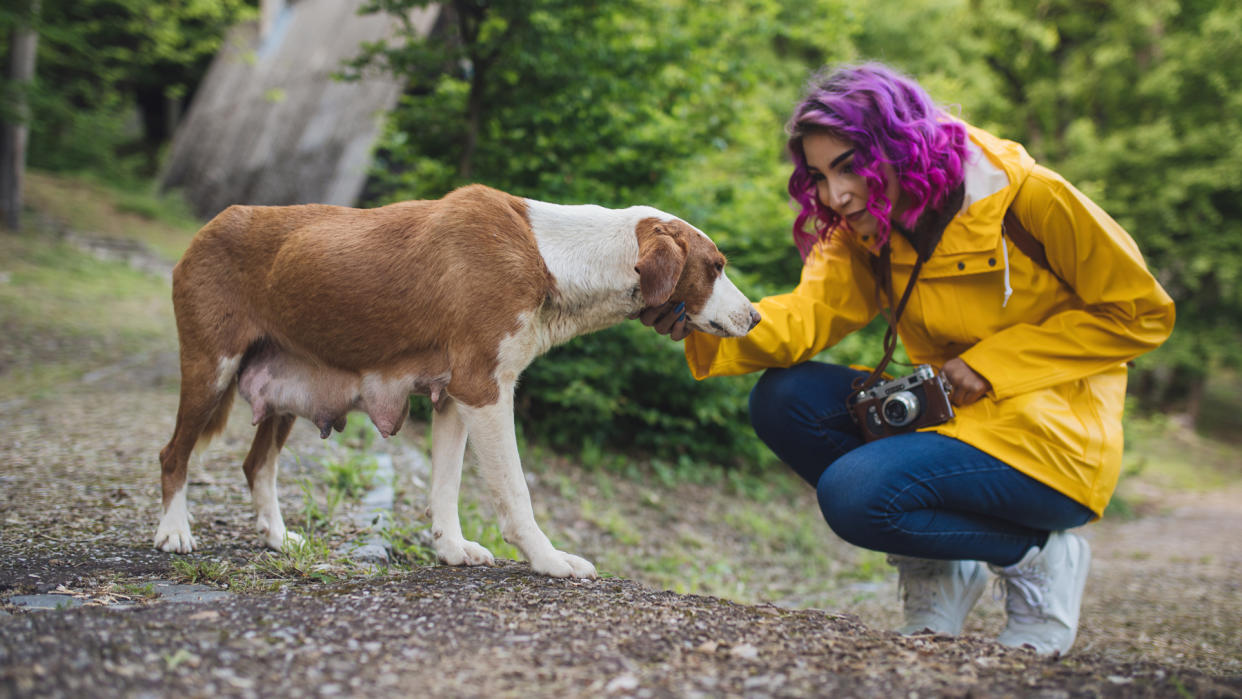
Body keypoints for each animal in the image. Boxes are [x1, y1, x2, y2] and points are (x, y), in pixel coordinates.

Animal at [152, 184, 755, 581]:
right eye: (717, 266)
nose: (754, 318)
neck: (551, 256)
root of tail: (209, 225)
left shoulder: (451, 397)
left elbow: (445, 486)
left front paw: (450, 550)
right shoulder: (483, 390)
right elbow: (516, 493)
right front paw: (547, 560)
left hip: (282, 391)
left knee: (257, 465)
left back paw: (277, 538)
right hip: (209, 369)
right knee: (173, 454)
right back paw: (175, 532)